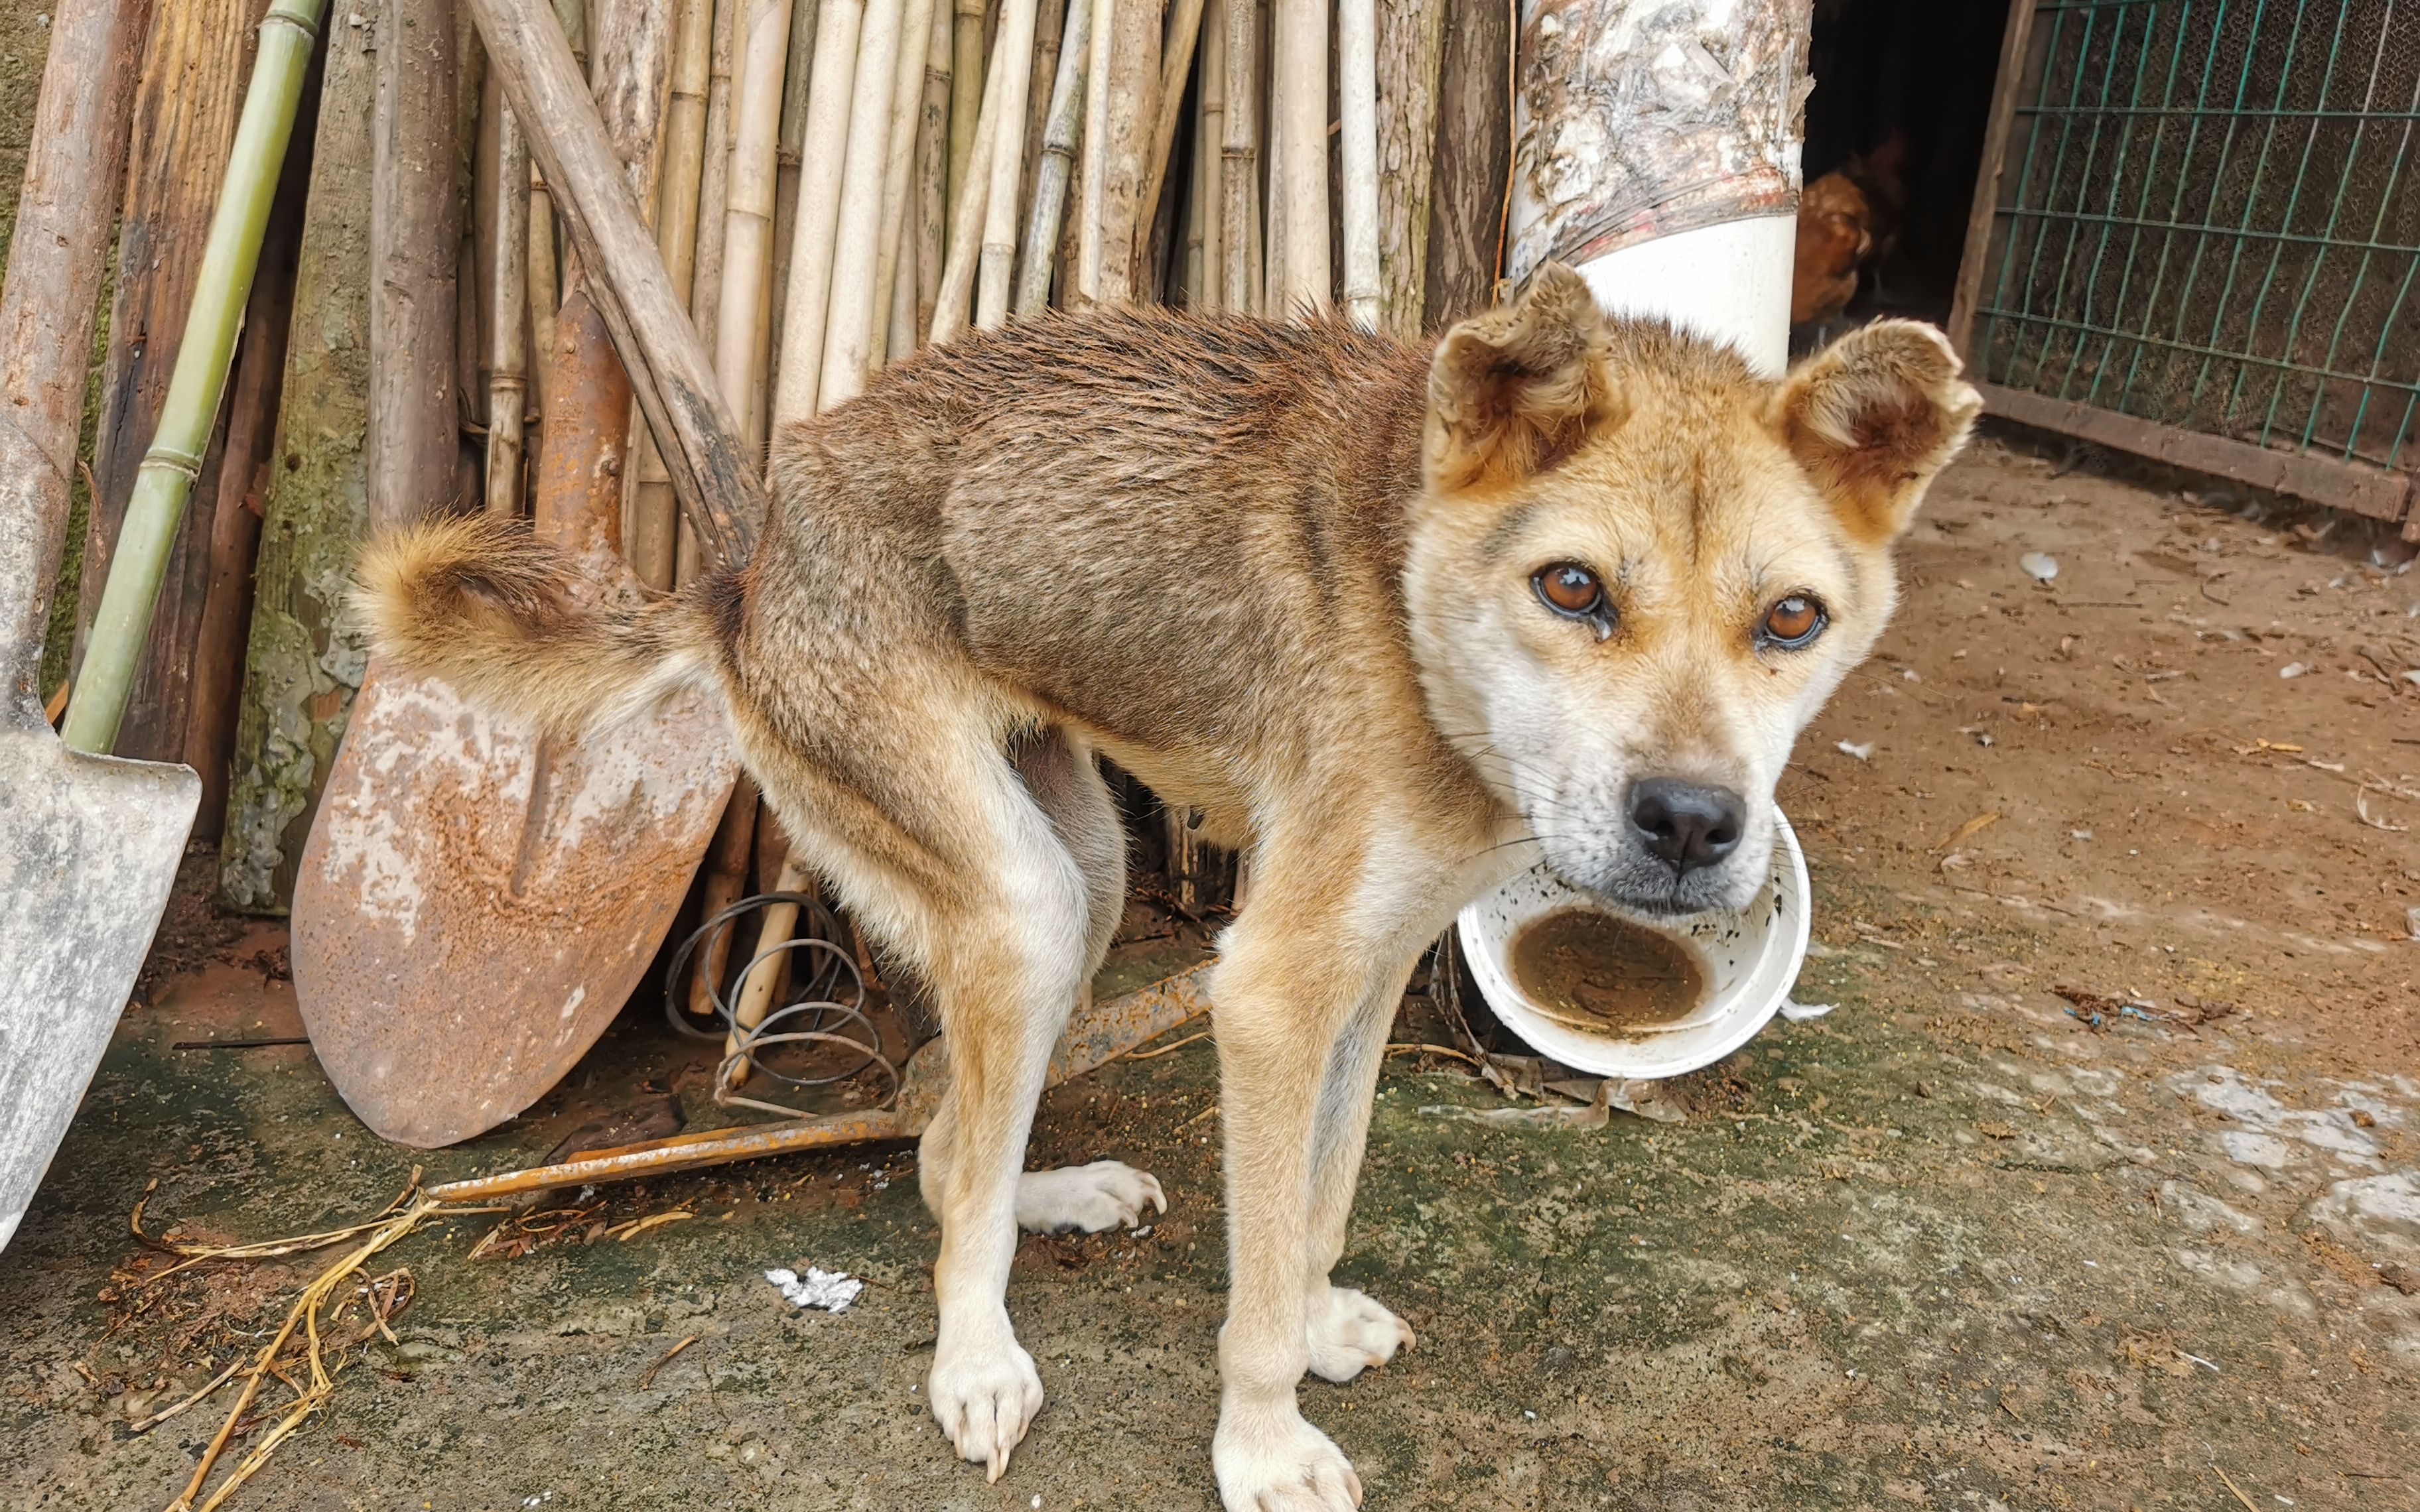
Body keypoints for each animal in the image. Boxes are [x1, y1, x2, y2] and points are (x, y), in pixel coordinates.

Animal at [363, 265, 1984, 1499]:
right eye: (1573, 587)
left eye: (1791, 620)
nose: (1695, 824)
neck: (1409, 593)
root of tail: (740, 571)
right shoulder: (1265, 992)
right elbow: (1252, 1296)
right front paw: (1263, 1447)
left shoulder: (1366, 979)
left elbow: (1315, 1206)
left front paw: (1316, 1320)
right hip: (1018, 908)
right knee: (951, 1174)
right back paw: (979, 1364)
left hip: (1081, 879)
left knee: (945, 1143)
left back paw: (1053, 1195)